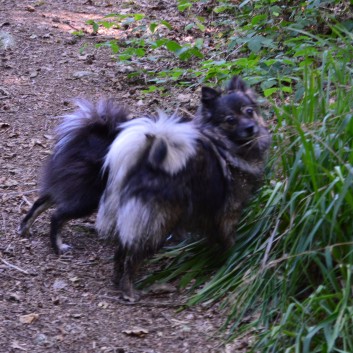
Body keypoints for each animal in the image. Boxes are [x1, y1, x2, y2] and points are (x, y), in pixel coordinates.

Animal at [95, 75, 270, 298]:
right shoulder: (229, 210)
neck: (226, 144)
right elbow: (228, 237)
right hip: (158, 224)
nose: (250, 127)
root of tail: (144, 161)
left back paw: (118, 280)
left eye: (249, 111)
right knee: (133, 255)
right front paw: (231, 256)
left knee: (121, 250)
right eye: (230, 120)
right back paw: (129, 290)